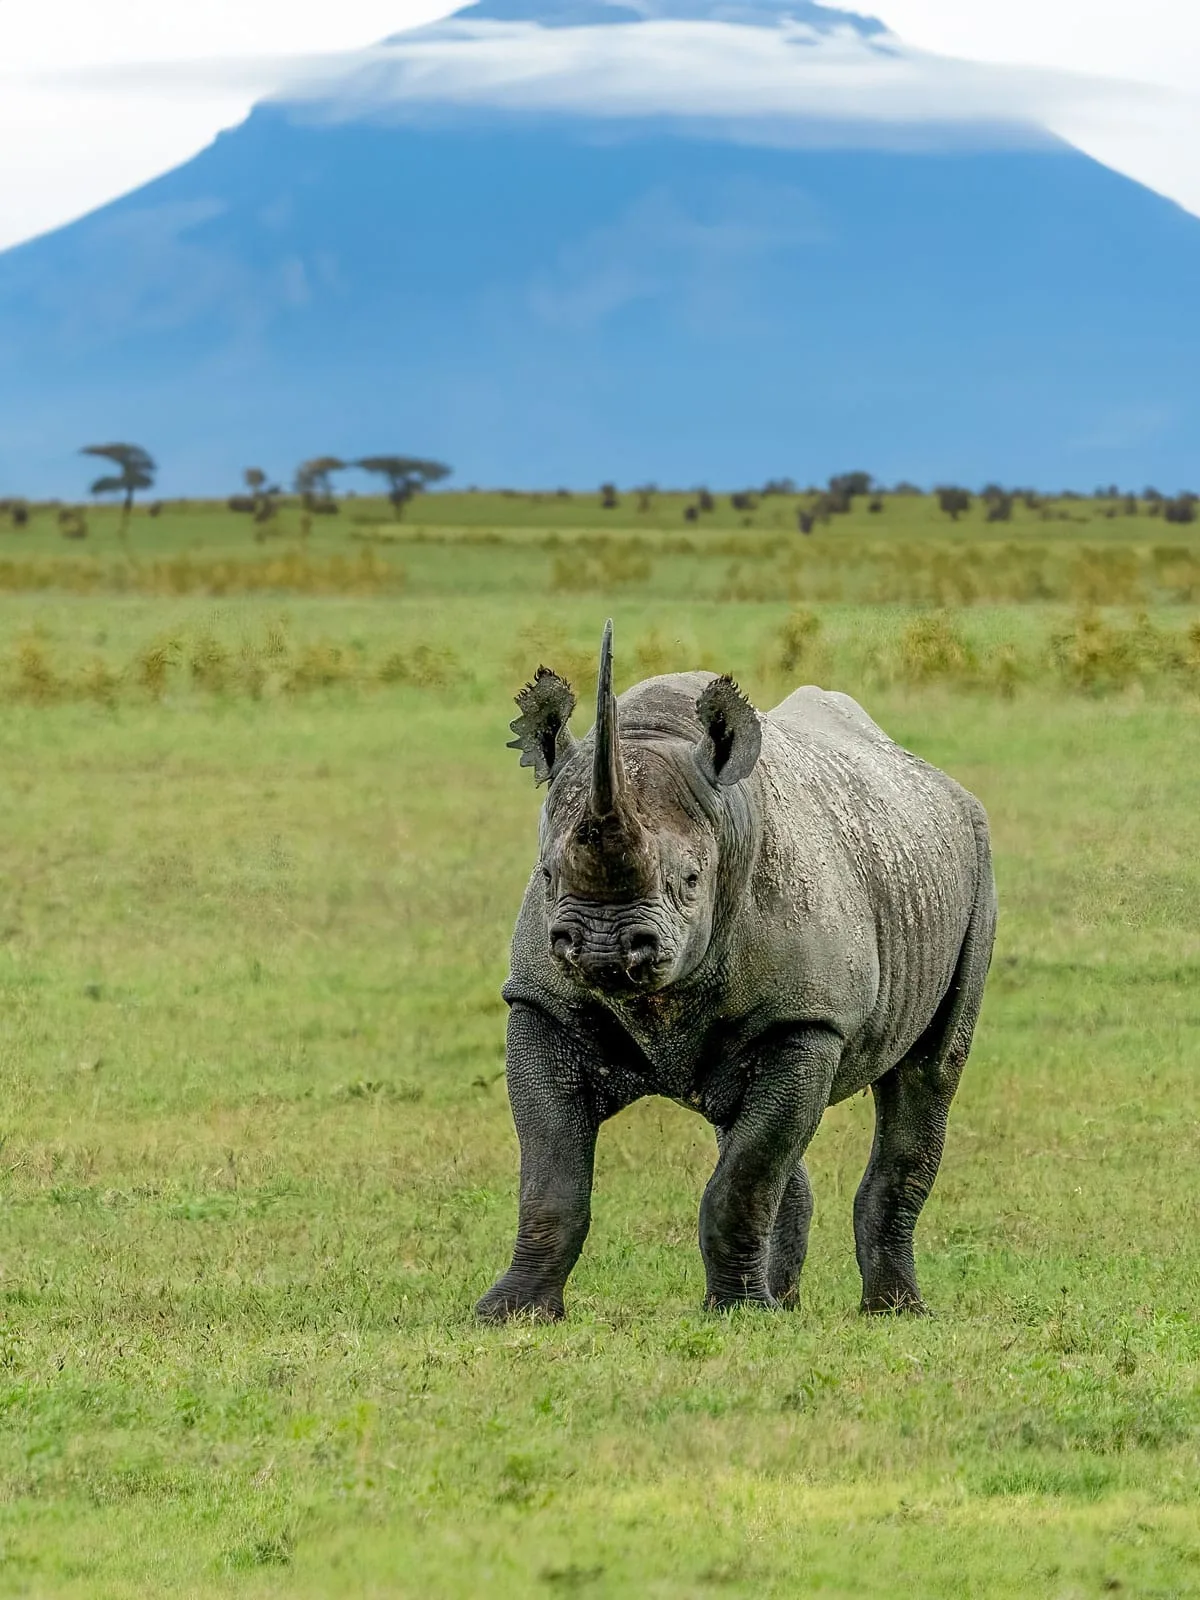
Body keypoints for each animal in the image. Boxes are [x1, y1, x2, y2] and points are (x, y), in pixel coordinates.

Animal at [478, 621, 996, 1321]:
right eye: (549, 874)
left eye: (691, 880)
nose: (605, 948)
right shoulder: (542, 1002)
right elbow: (551, 1178)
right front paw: (509, 1314)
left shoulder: (806, 1019)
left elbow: (746, 1178)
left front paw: (741, 1316)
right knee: (752, 1126)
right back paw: (788, 1300)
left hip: (975, 861)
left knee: (928, 1073)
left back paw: (893, 1312)